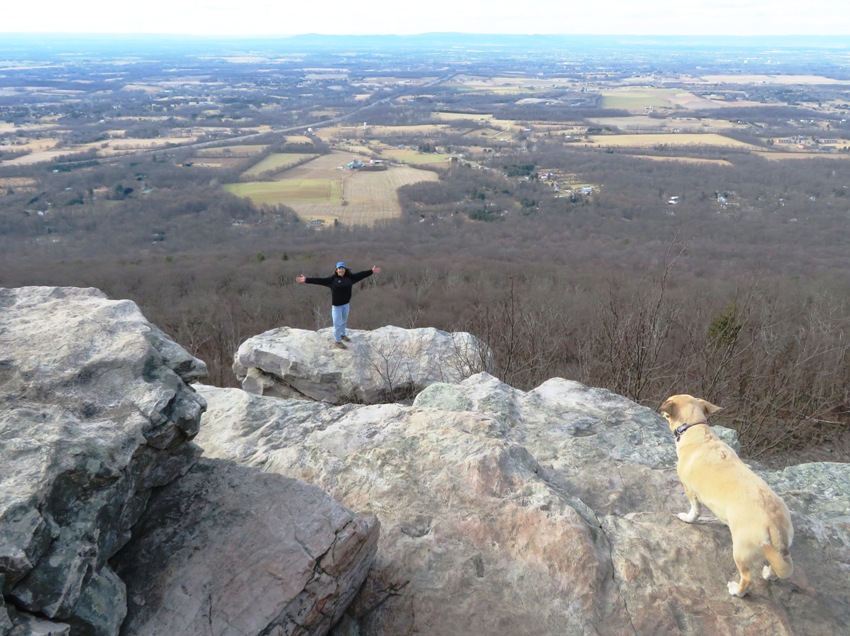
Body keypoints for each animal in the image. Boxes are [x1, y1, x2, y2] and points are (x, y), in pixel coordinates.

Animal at [660, 392, 792, 596]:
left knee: (747, 578)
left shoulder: (689, 489)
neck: (695, 427)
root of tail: (774, 522)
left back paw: (736, 591)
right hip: (779, 550)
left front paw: (687, 518)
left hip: (740, 551)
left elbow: (694, 510)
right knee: (776, 568)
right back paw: (768, 574)